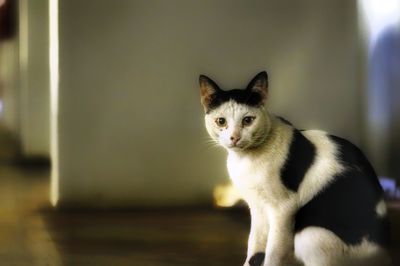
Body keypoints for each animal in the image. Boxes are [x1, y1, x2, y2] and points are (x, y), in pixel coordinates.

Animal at [199, 70, 390, 266]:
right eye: (221, 121)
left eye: (248, 120)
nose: (235, 137)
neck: (245, 159)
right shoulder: (257, 208)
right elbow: (254, 243)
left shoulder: (283, 209)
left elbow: (273, 252)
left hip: (308, 234)